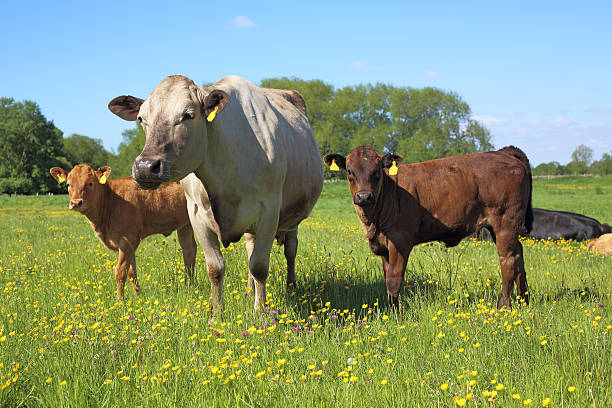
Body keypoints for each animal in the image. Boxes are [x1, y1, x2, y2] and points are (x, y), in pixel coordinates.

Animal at [51, 165, 198, 296]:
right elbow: (132, 272)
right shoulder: (129, 243)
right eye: (68, 184)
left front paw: (120, 300)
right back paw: (189, 287)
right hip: (185, 225)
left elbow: (120, 272)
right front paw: (136, 296)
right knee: (189, 251)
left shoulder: (128, 239)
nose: (76, 202)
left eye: (90, 183)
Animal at [109, 75, 326, 314]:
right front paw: (216, 313)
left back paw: (291, 287)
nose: (146, 167)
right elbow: (215, 268)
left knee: (290, 250)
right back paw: (249, 292)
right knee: (250, 248)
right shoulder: (196, 214)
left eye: (188, 114)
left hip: (292, 218)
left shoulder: (269, 210)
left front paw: (260, 312)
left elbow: (259, 266)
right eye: (141, 118)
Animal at [326, 145, 532, 308]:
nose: (364, 196)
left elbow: (393, 279)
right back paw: (524, 300)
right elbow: (386, 277)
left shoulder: (400, 241)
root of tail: (503, 152)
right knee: (519, 255)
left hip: (505, 223)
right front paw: (389, 308)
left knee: (508, 261)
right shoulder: (383, 246)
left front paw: (394, 313)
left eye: (377, 171)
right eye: (349, 171)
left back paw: (504, 305)